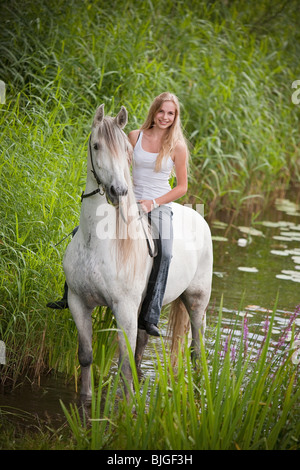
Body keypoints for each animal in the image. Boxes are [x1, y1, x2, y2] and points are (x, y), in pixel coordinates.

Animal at [63, 104, 213, 398]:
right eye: (96, 146)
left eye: (125, 150)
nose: (118, 190)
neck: (96, 243)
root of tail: (199, 218)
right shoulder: (78, 302)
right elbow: (86, 356)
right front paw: (86, 399)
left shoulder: (124, 309)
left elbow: (124, 365)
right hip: (148, 309)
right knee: (143, 346)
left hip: (197, 301)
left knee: (196, 349)